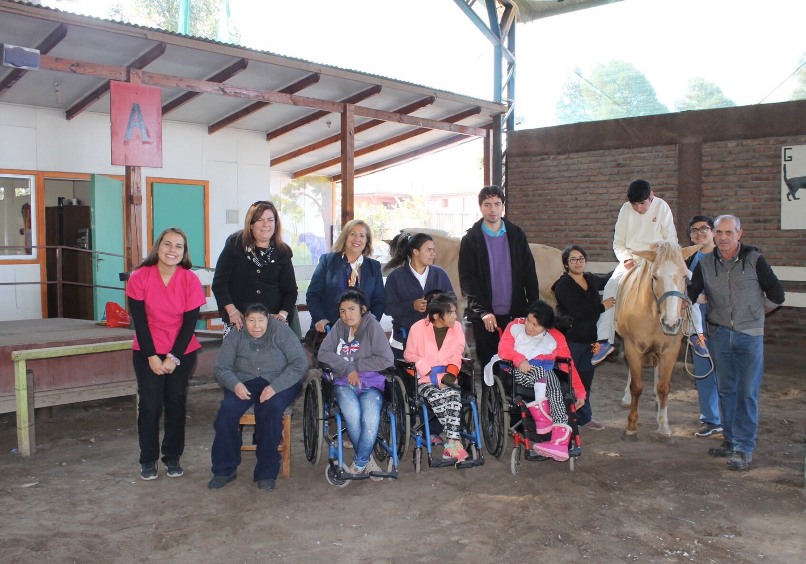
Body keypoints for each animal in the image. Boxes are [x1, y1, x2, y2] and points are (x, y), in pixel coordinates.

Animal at [616, 240, 704, 438]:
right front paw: (631, 425)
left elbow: (664, 387)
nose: (671, 323)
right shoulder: (632, 347)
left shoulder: (670, 350)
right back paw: (626, 397)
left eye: (684, 275)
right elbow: (636, 386)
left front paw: (664, 425)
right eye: (655, 277)